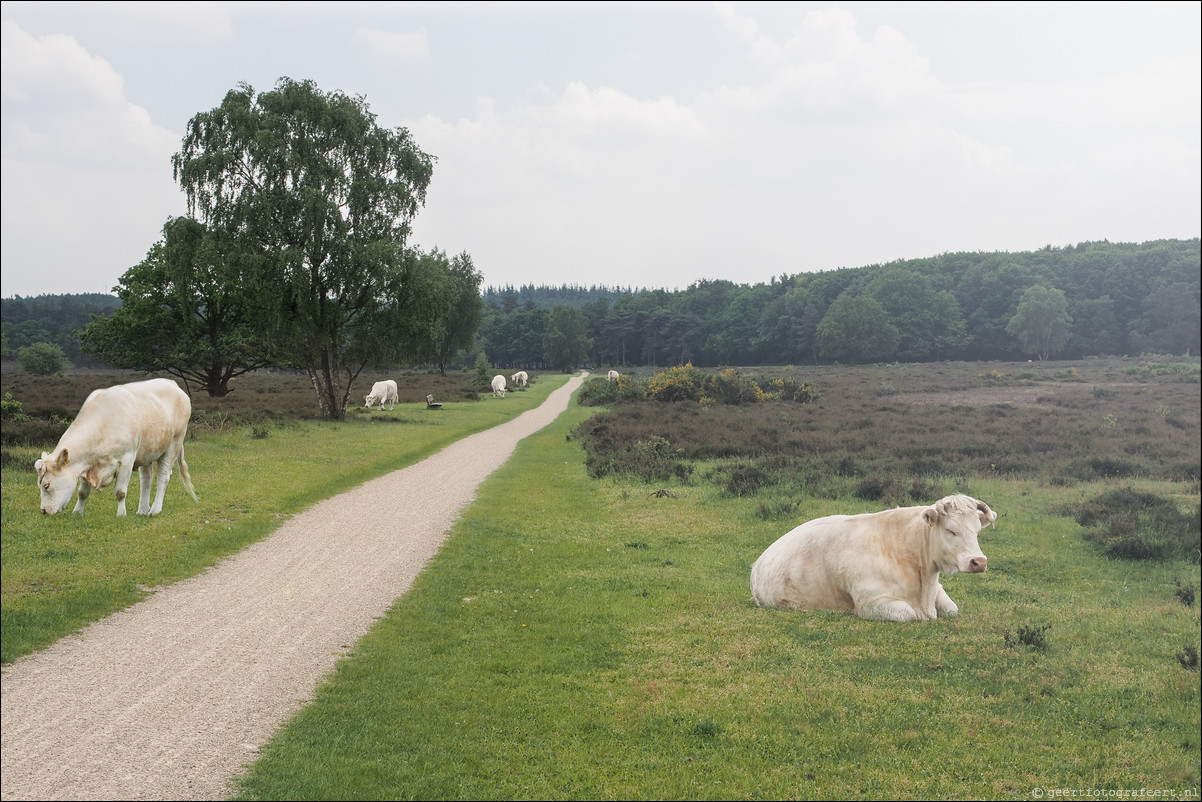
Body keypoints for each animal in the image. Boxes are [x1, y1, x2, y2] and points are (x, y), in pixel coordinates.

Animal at [34, 377, 197, 517]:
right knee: (146, 479)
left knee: (163, 477)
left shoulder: (127, 459)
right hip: (148, 450)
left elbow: (120, 492)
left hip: (174, 444)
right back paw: (143, 510)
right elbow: (82, 492)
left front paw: (121, 514)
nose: (43, 510)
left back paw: (155, 510)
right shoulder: (87, 465)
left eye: (47, 485)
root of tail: (172, 384)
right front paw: (77, 513)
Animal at [750, 495, 995, 620]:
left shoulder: (938, 590)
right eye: (951, 531)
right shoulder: (870, 603)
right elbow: (911, 614)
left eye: (977, 531)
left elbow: (952, 609)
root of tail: (759, 562)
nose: (979, 562)